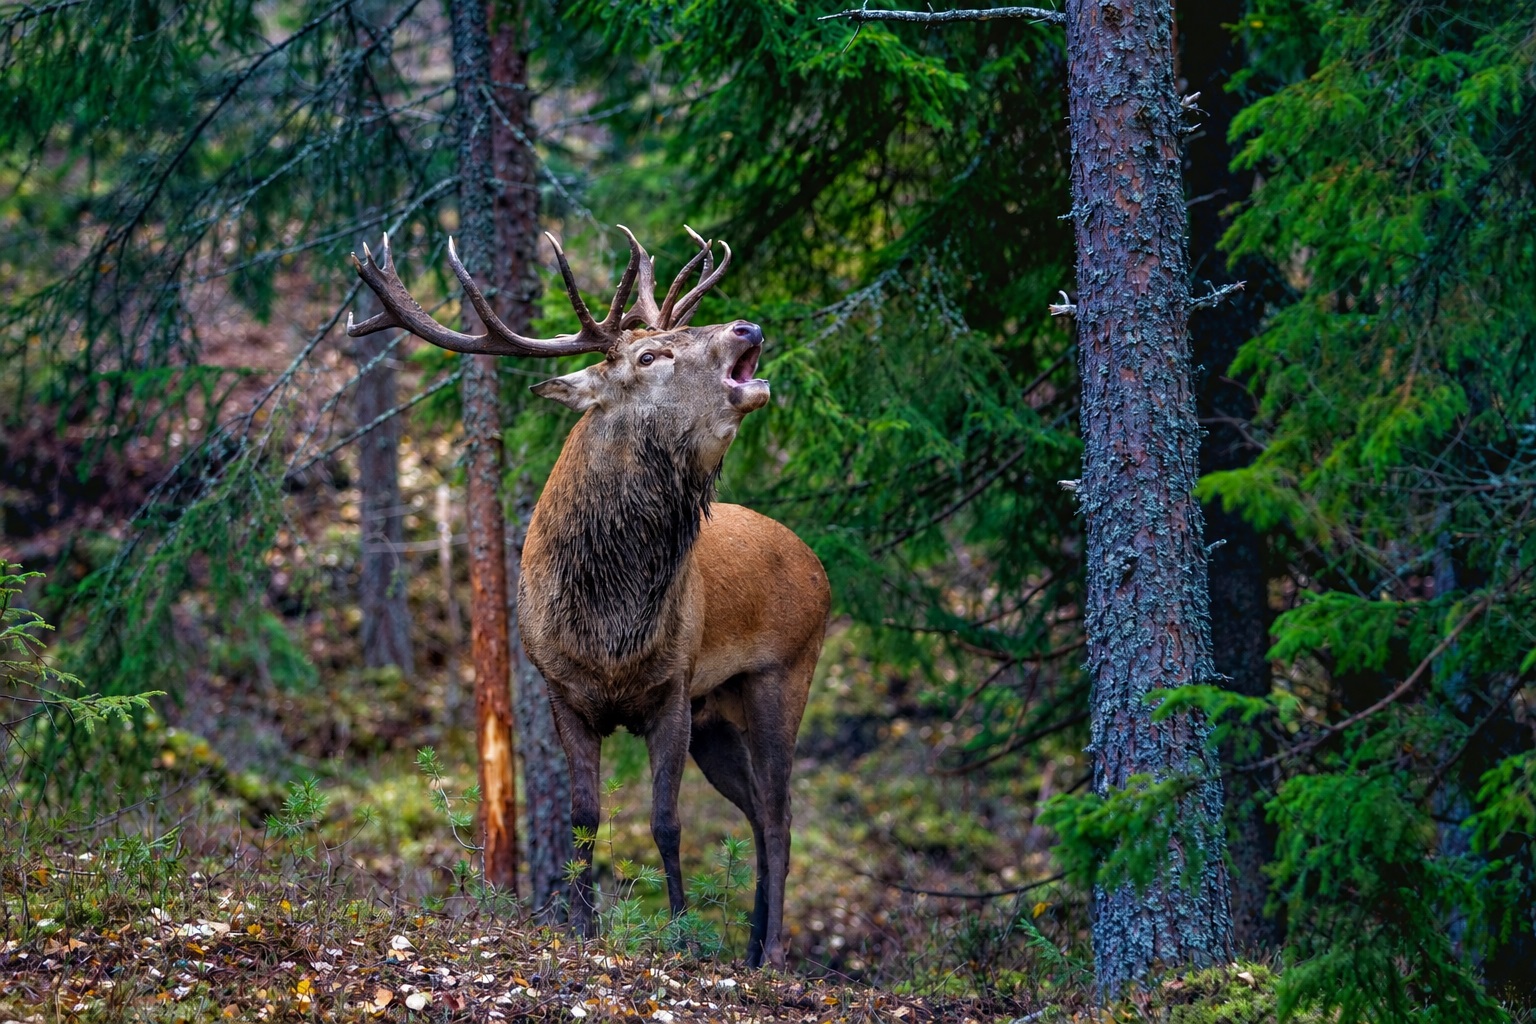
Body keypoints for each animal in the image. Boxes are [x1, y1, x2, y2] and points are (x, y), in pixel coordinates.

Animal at [345, 226, 830, 969]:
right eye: (651, 354)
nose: (747, 326)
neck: (609, 629)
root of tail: (818, 565)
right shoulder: (561, 692)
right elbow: (583, 819)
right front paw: (579, 927)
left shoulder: (673, 689)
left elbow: (666, 822)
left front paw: (681, 933)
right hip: (719, 714)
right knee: (755, 812)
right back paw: (751, 947)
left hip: (783, 673)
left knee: (779, 815)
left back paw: (773, 953)